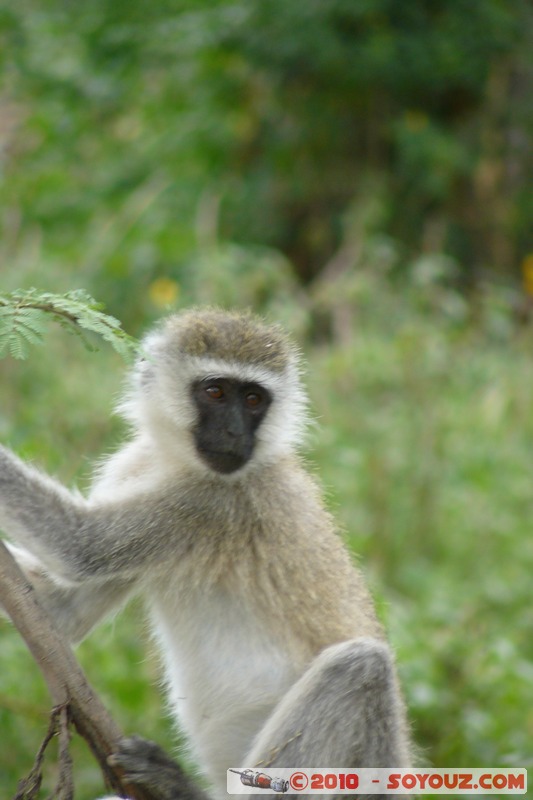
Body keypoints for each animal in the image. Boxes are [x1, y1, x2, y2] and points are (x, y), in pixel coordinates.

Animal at [0, 310, 412, 796]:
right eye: (215, 392)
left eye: (253, 399)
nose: (234, 432)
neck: (175, 462)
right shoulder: (132, 465)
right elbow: (61, 613)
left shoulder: (213, 504)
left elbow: (82, 547)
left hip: (368, 771)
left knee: (362, 667)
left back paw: (178, 787)